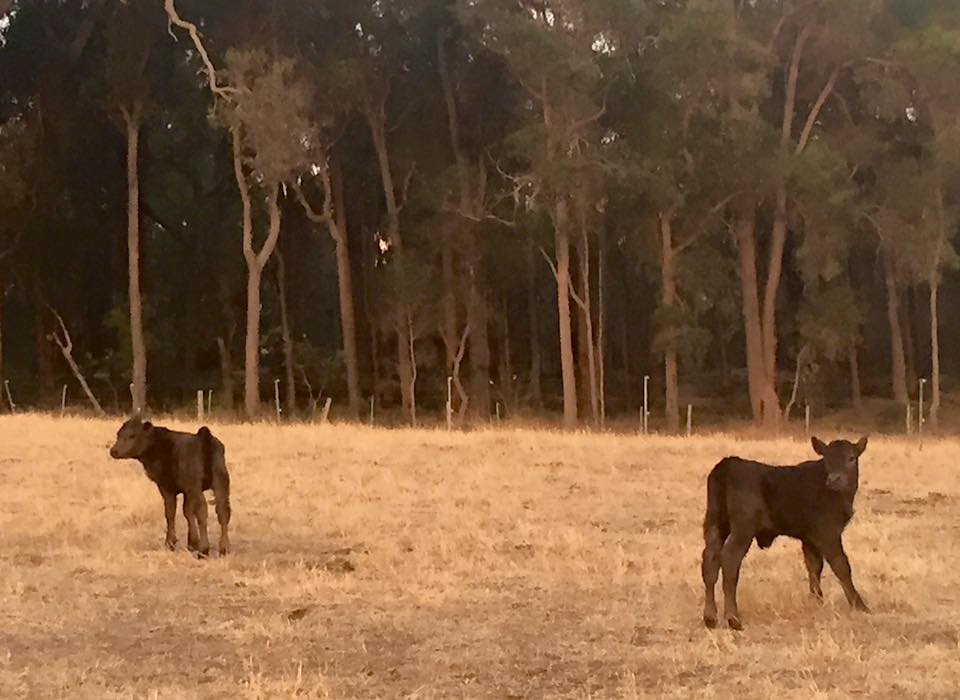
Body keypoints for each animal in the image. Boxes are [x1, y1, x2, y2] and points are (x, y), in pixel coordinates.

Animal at [109, 415, 231, 558]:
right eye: (118, 434)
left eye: (132, 435)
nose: (114, 451)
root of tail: (203, 436)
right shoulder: (185, 490)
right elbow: (187, 511)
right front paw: (192, 543)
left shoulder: (166, 487)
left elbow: (170, 511)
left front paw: (171, 542)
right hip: (221, 481)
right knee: (223, 511)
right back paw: (224, 548)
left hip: (195, 486)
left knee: (202, 510)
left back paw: (204, 550)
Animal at [701, 436, 869, 630]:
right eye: (827, 459)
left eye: (851, 458)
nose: (835, 479)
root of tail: (728, 464)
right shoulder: (828, 533)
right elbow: (842, 566)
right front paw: (859, 605)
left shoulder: (809, 537)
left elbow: (814, 567)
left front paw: (816, 600)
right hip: (743, 529)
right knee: (729, 559)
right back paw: (733, 618)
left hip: (714, 523)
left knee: (710, 560)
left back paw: (710, 618)